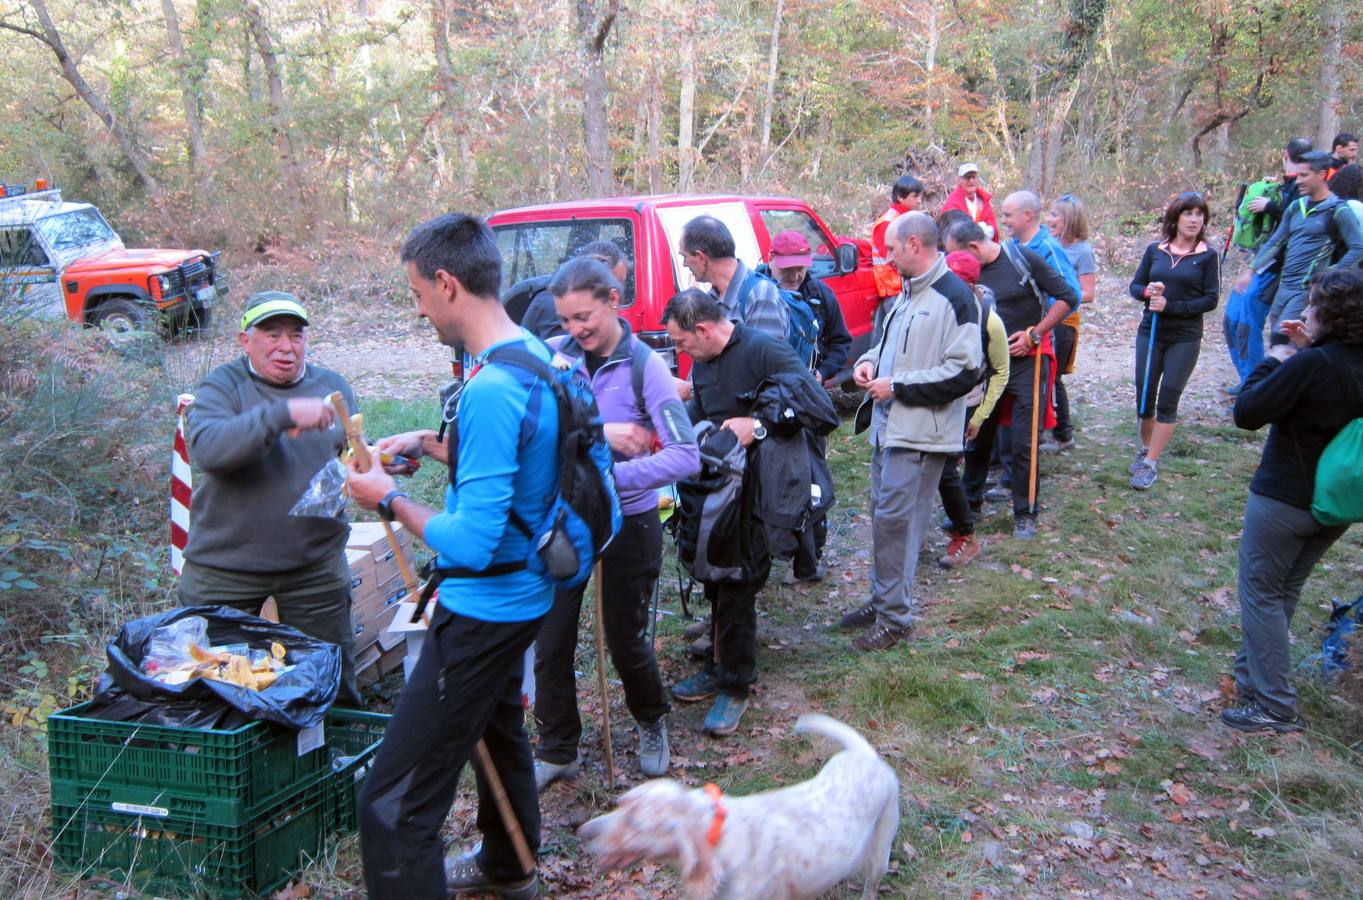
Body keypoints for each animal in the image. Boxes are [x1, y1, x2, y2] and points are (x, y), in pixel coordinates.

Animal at [577, 714, 905, 894]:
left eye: (634, 821)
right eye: (621, 803)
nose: (583, 832)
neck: (718, 834)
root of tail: (865, 754)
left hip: (879, 856)